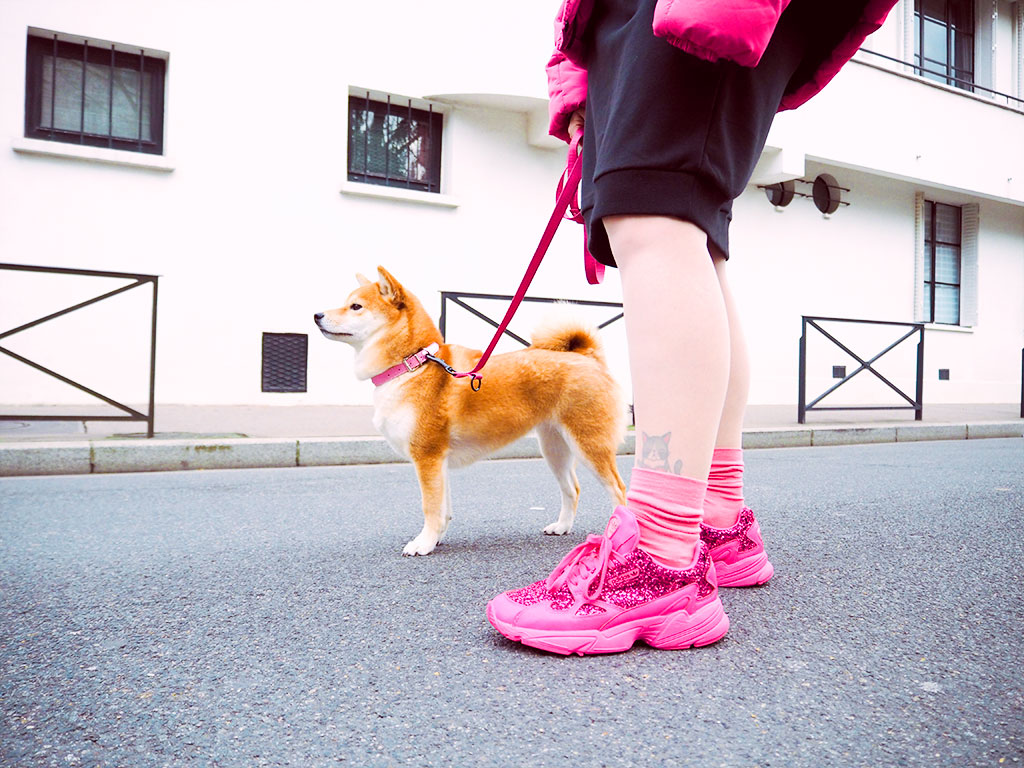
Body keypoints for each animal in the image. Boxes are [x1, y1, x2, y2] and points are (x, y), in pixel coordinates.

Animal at [315, 268, 626, 557]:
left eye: (356, 306)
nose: (317, 314)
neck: (413, 364)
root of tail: (586, 356)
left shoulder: (426, 457)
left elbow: (430, 507)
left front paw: (422, 544)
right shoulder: (438, 461)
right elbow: (443, 509)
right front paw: (435, 539)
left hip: (589, 445)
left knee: (619, 491)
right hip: (554, 448)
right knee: (572, 489)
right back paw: (562, 526)